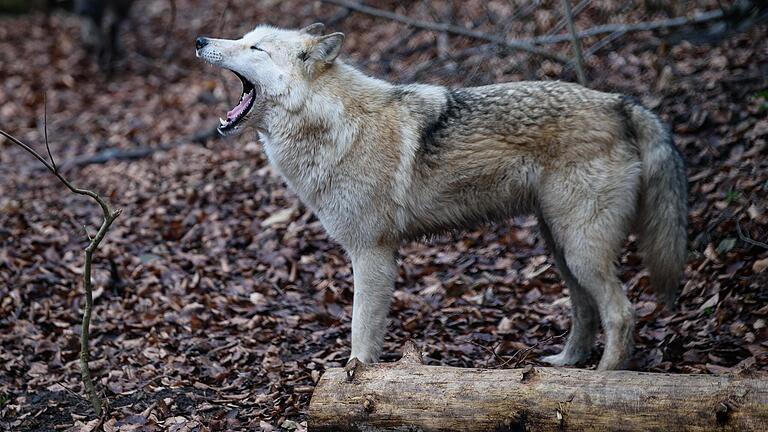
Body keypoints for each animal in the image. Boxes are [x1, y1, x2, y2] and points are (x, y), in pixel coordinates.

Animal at [195, 23, 688, 370]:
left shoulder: (372, 254)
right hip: (561, 247)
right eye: (243, 38)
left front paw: (354, 380)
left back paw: (603, 380)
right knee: (586, 310)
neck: (335, 124)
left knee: (622, 313)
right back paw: (567, 365)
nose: (200, 40)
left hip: (581, 248)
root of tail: (621, 103)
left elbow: (360, 332)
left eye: (256, 49)